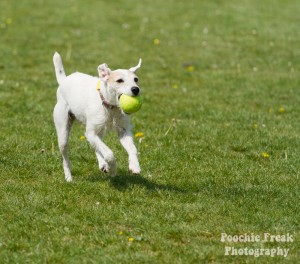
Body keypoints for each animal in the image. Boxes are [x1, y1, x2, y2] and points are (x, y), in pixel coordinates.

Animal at [52, 52, 142, 180]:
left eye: (136, 79)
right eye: (119, 80)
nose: (136, 89)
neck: (110, 107)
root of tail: (64, 80)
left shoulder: (123, 131)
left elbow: (132, 149)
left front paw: (134, 166)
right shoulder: (90, 133)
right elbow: (109, 153)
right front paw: (113, 170)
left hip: (100, 129)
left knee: (98, 145)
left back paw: (103, 164)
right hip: (63, 130)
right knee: (66, 156)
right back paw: (69, 177)